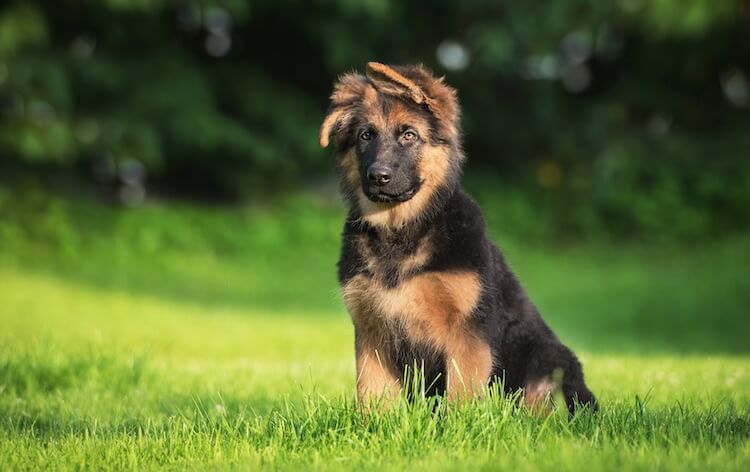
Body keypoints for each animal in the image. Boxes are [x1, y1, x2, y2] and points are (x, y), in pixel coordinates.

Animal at [320, 62, 596, 412]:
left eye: (409, 135)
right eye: (365, 136)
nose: (378, 177)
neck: (402, 231)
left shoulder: (467, 331)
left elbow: (461, 395)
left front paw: (458, 422)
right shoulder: (372, 333)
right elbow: (372, 395)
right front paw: (373, 422)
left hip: (548, 360)